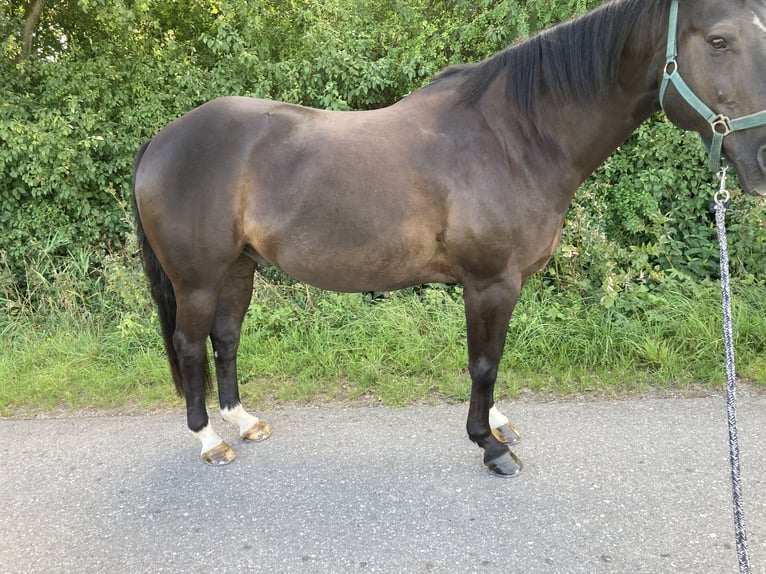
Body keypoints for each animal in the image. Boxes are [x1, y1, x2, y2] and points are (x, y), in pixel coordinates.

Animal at [132, 0, 766, 476]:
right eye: (718, 40)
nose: (761, 160)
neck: (514, 137)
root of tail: (160, 141)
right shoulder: (490, 281)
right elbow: (484, 362)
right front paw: (490, 445)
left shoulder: (495, 285)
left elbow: (491, 357)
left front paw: (499, 422)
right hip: (197, 279)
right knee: (191, 347)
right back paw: (209, 438)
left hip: (239, 267)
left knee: (226, 338)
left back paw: (243, 421)